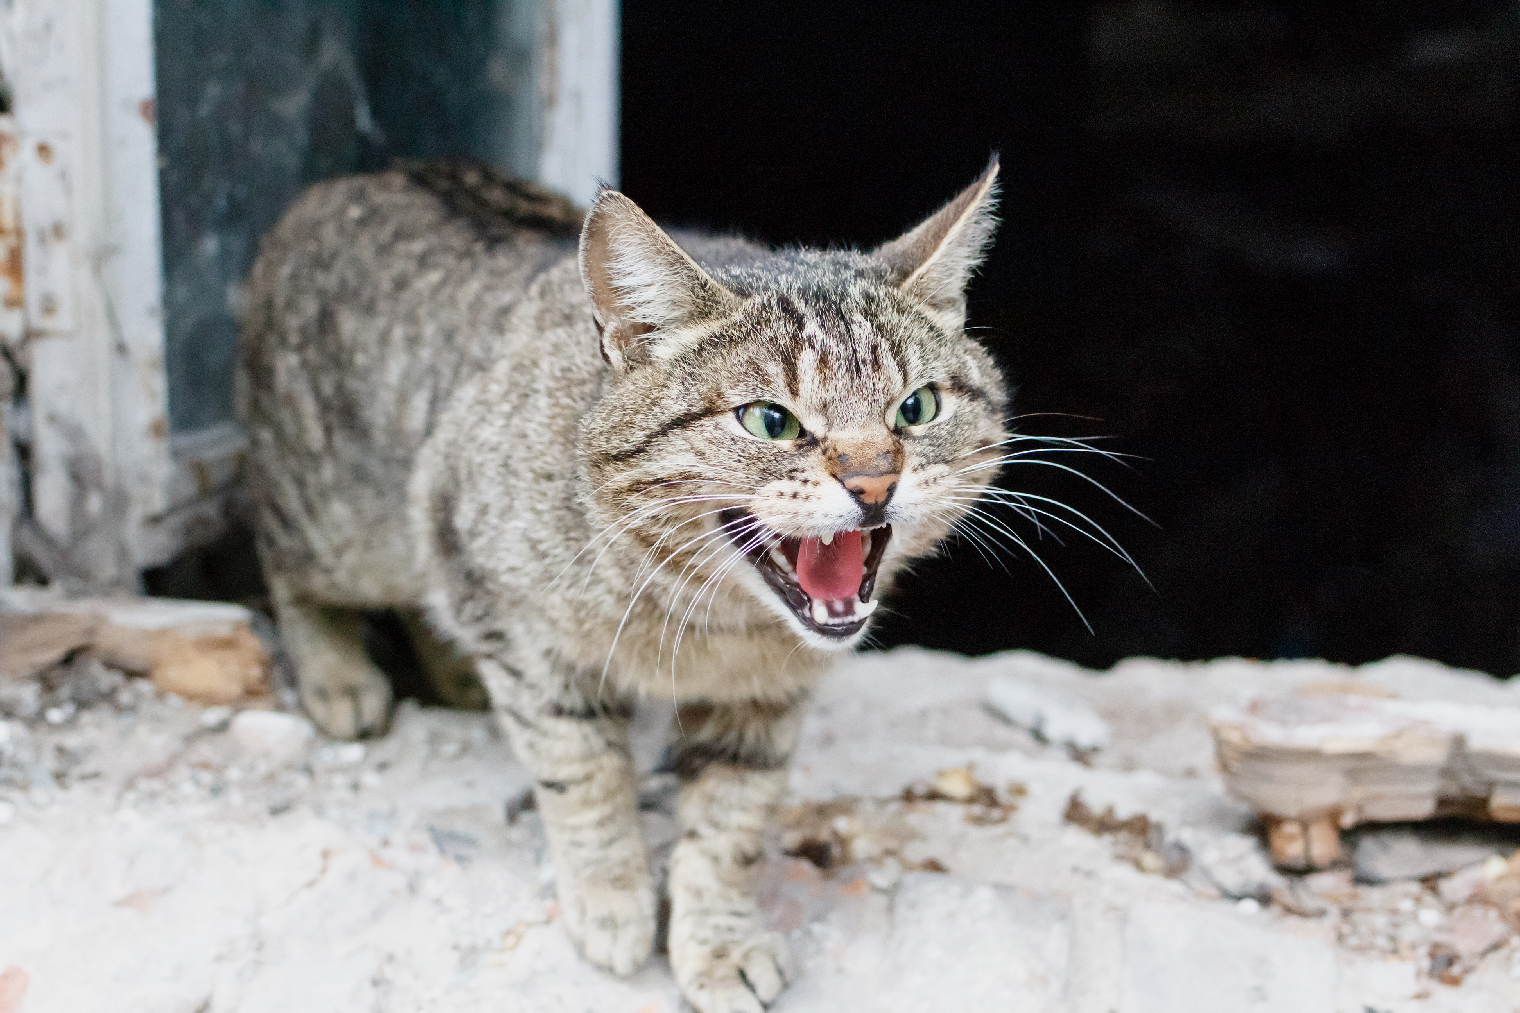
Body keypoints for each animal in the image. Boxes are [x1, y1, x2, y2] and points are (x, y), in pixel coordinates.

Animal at [240, 158, 1009, 1009]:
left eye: (917, 407)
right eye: (769, 421)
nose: (875, 481)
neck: (709, 621)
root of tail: (355, 174)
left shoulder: (763, 704)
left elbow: (731, 824)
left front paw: (718, 940)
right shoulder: (522, 632)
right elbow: (584, 775)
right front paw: (612, 900)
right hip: (343, 523)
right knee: (282, 552)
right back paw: (338, 674)